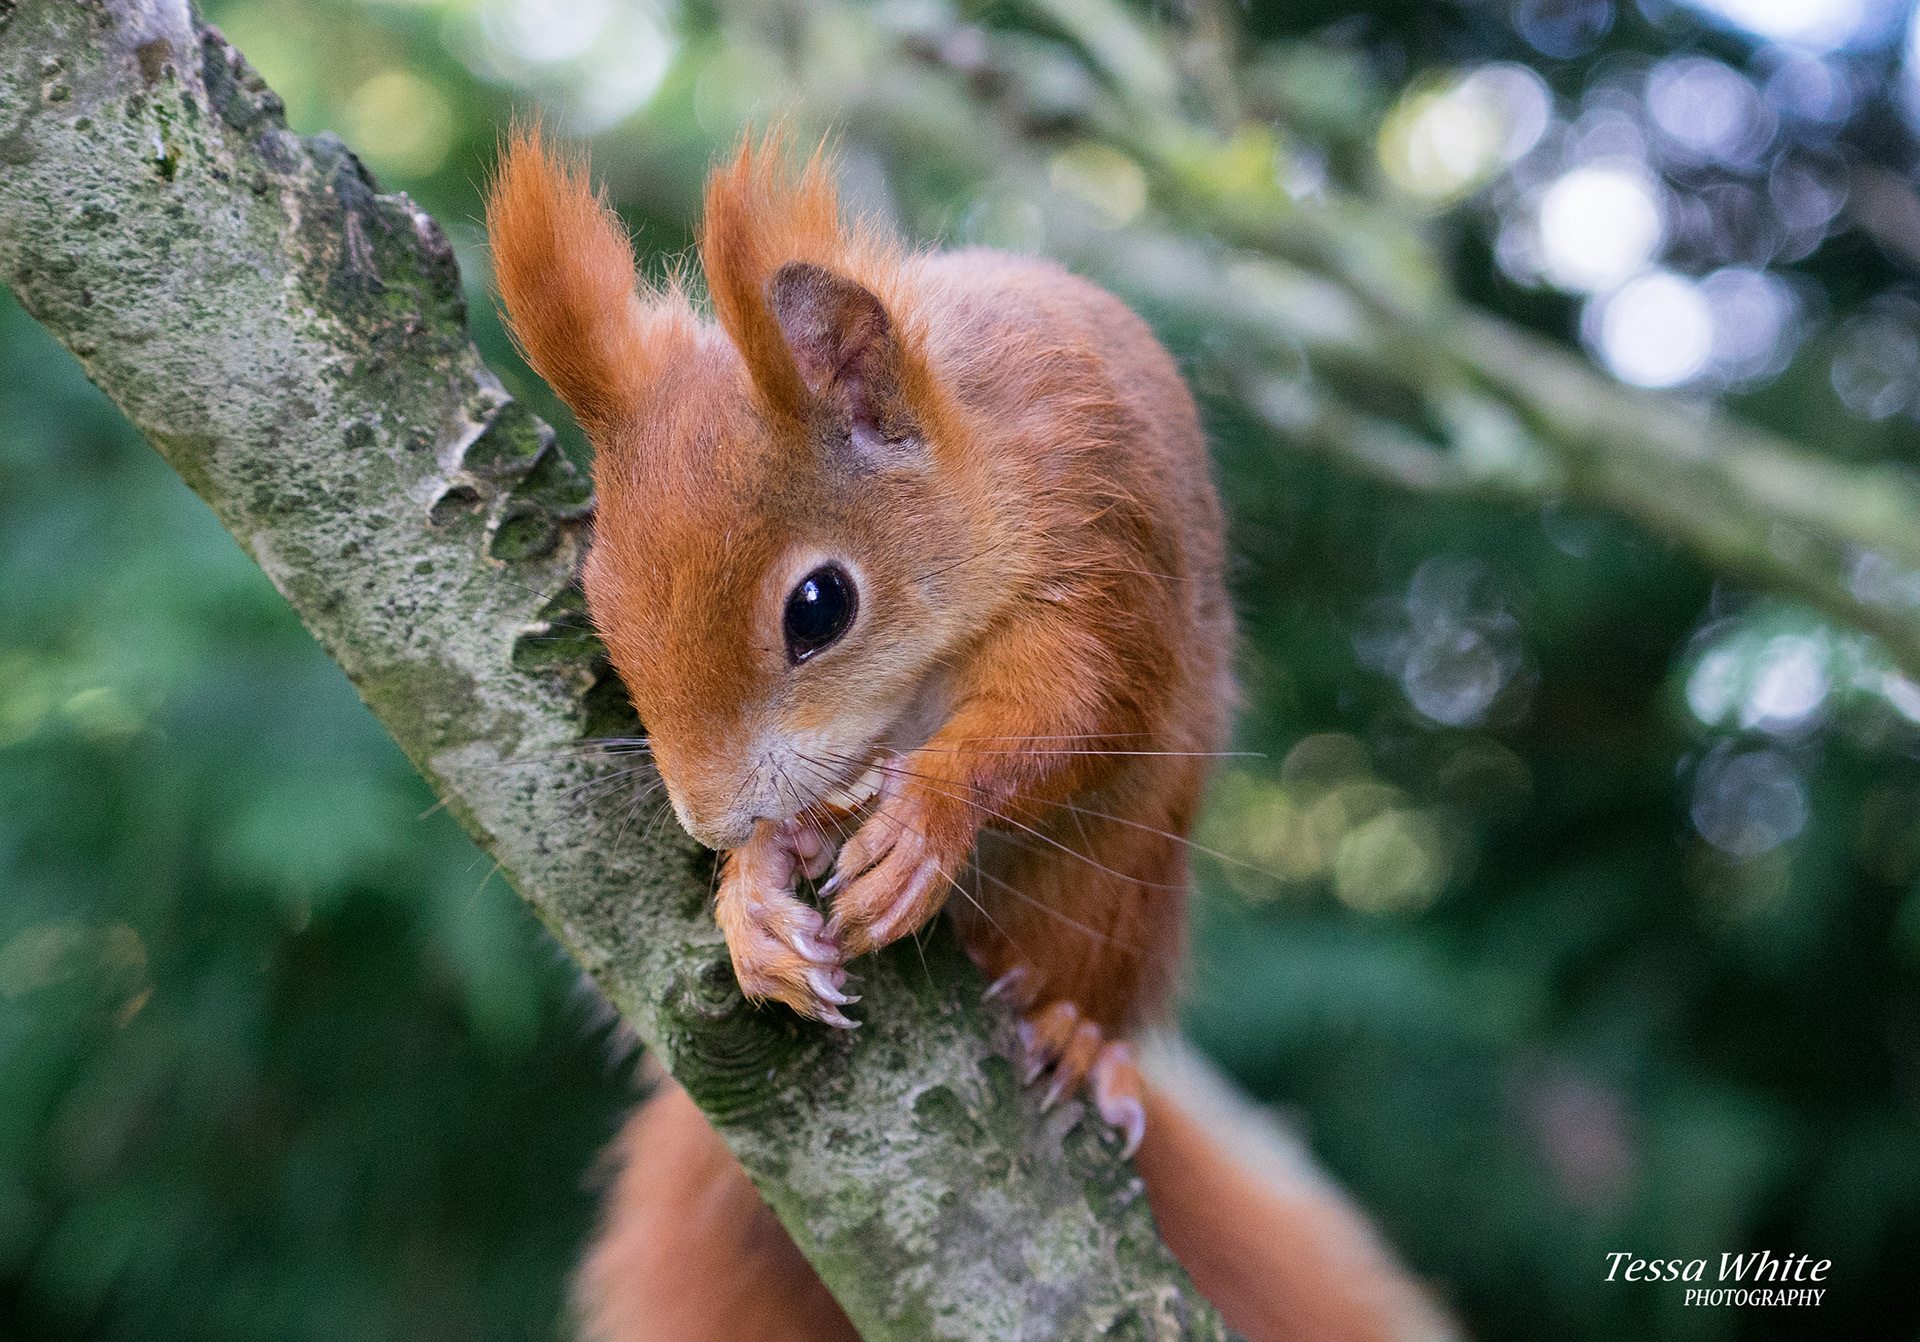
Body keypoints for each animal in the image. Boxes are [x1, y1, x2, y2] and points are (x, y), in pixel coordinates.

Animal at [487, 129, 1458, 1342]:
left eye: (818, 608)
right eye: (601, 614)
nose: (709, 822)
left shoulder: (1100, 541)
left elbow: (1074, 712)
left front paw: (923, 824)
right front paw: (753, 890)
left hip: (1120, 883)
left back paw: (1079, 1037)